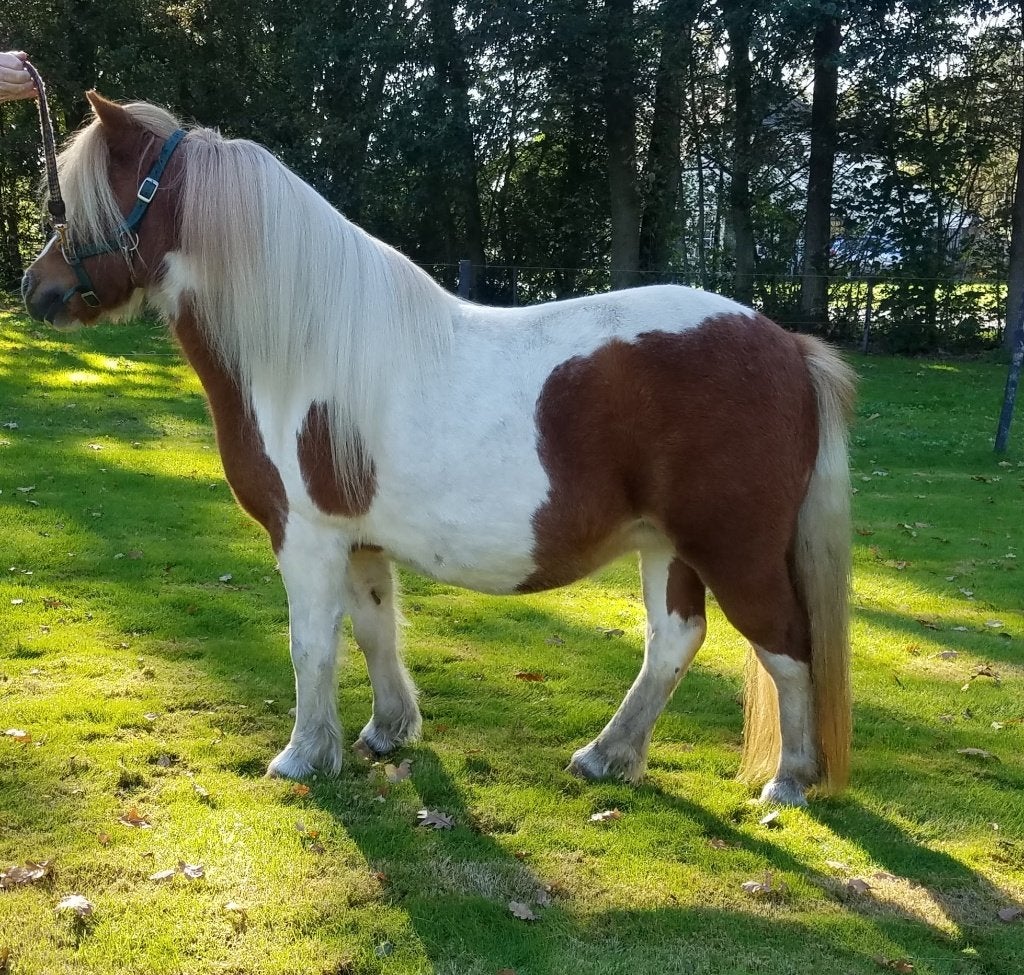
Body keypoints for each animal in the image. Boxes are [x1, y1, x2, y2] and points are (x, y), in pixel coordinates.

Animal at [22, 92, 855, 807]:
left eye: (84, 201)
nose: (35, 286)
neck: (303, 346)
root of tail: (785, 345)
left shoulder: (305, 535)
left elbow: (310, 645)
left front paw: (302, 755)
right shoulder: (357, 540)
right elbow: (373, 631)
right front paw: (386, 732)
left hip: (734, 550)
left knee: (787, 647)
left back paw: (788, 779)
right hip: (667, 546)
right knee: (675, 641)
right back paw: (607, 755)